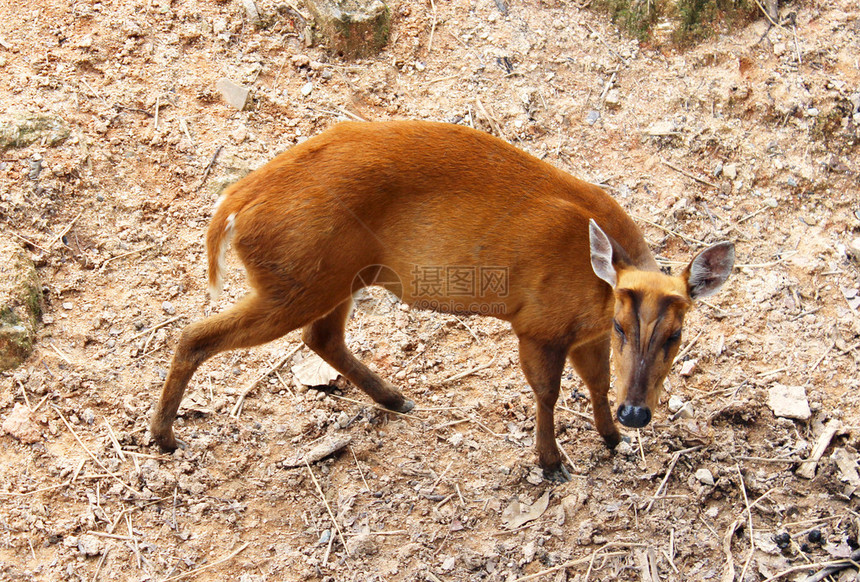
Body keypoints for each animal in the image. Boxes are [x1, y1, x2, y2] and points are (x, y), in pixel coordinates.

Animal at [149, 120, 732, 484]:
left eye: (677, 334)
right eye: (622, 327)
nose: (637, 414)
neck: (595, 289)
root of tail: (234, 204)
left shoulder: (581, 333)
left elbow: (598, 381)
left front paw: (611, 438)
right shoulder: (537, 322)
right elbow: (547, 392)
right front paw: (551, 463)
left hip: (335, 278)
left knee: (321, 336)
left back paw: (396, 398)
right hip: (297, 281)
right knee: (195, 334)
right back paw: (163, 437)